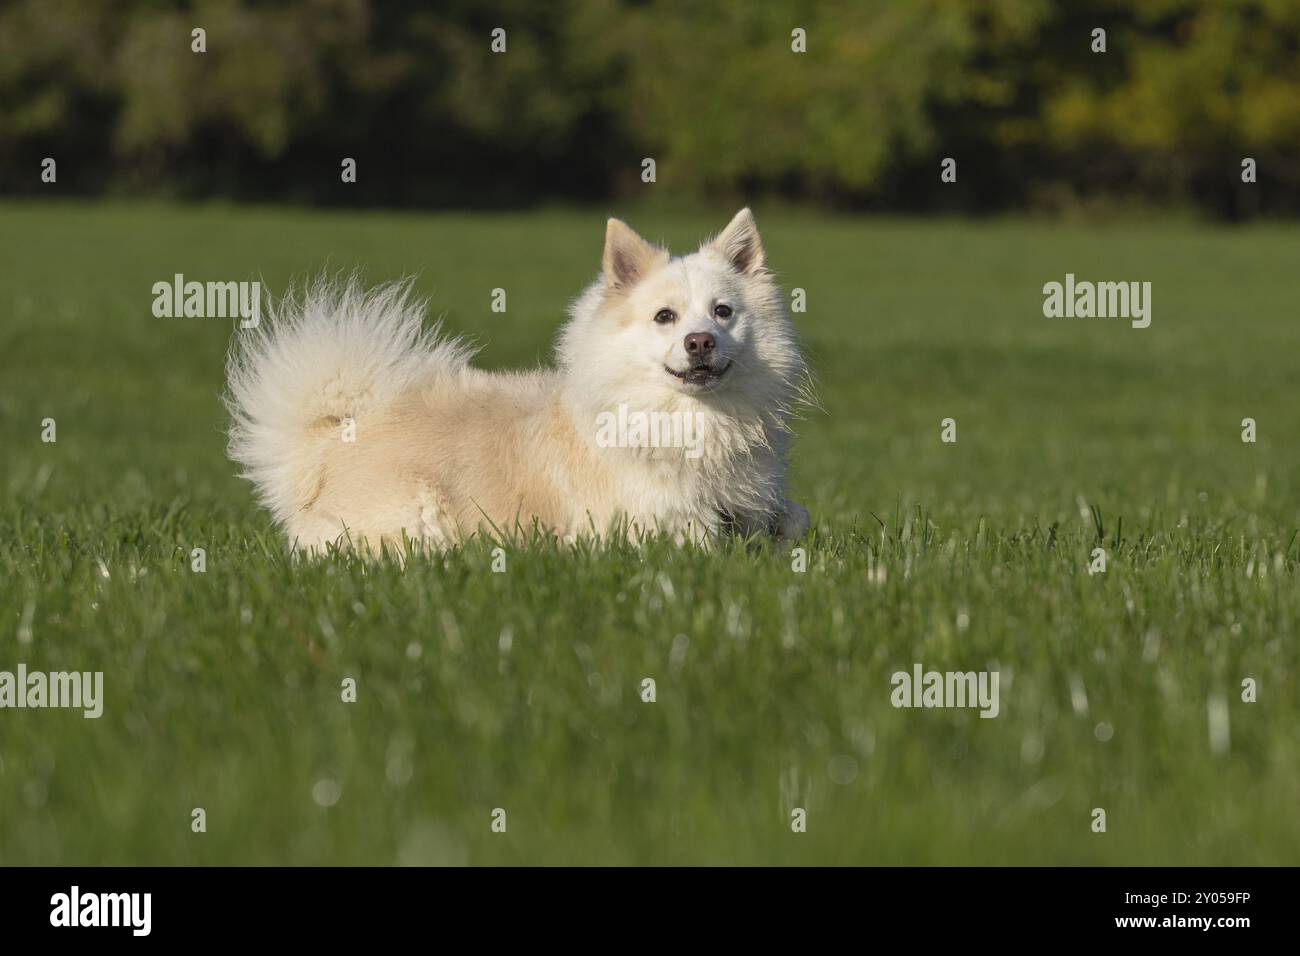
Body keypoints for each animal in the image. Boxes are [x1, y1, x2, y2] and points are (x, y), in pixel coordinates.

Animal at [228, 209, 806, 554]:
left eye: (723, 312)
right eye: (665, 317)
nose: (700, 341)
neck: (688, 421)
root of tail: (335, 439)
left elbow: (791, 519)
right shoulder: (644, 526)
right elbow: (698, 540)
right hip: (417, 517)